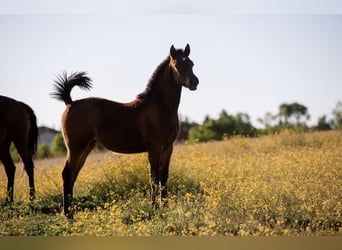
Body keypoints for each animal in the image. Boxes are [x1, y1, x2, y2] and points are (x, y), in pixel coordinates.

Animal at [52, 44, 199, 220]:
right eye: (177, 64)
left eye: (191, 63)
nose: (194, 82)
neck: (160, 107)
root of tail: (70, 103)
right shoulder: (154, 147)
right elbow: (154, 178)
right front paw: (155, 208)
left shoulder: (168, 147)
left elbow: (164, 178)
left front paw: (165, 207)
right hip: (75, 148)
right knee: (67, 175)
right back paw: (68, 215)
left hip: (85, 148)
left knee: (73, 176)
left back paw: (72, 213)